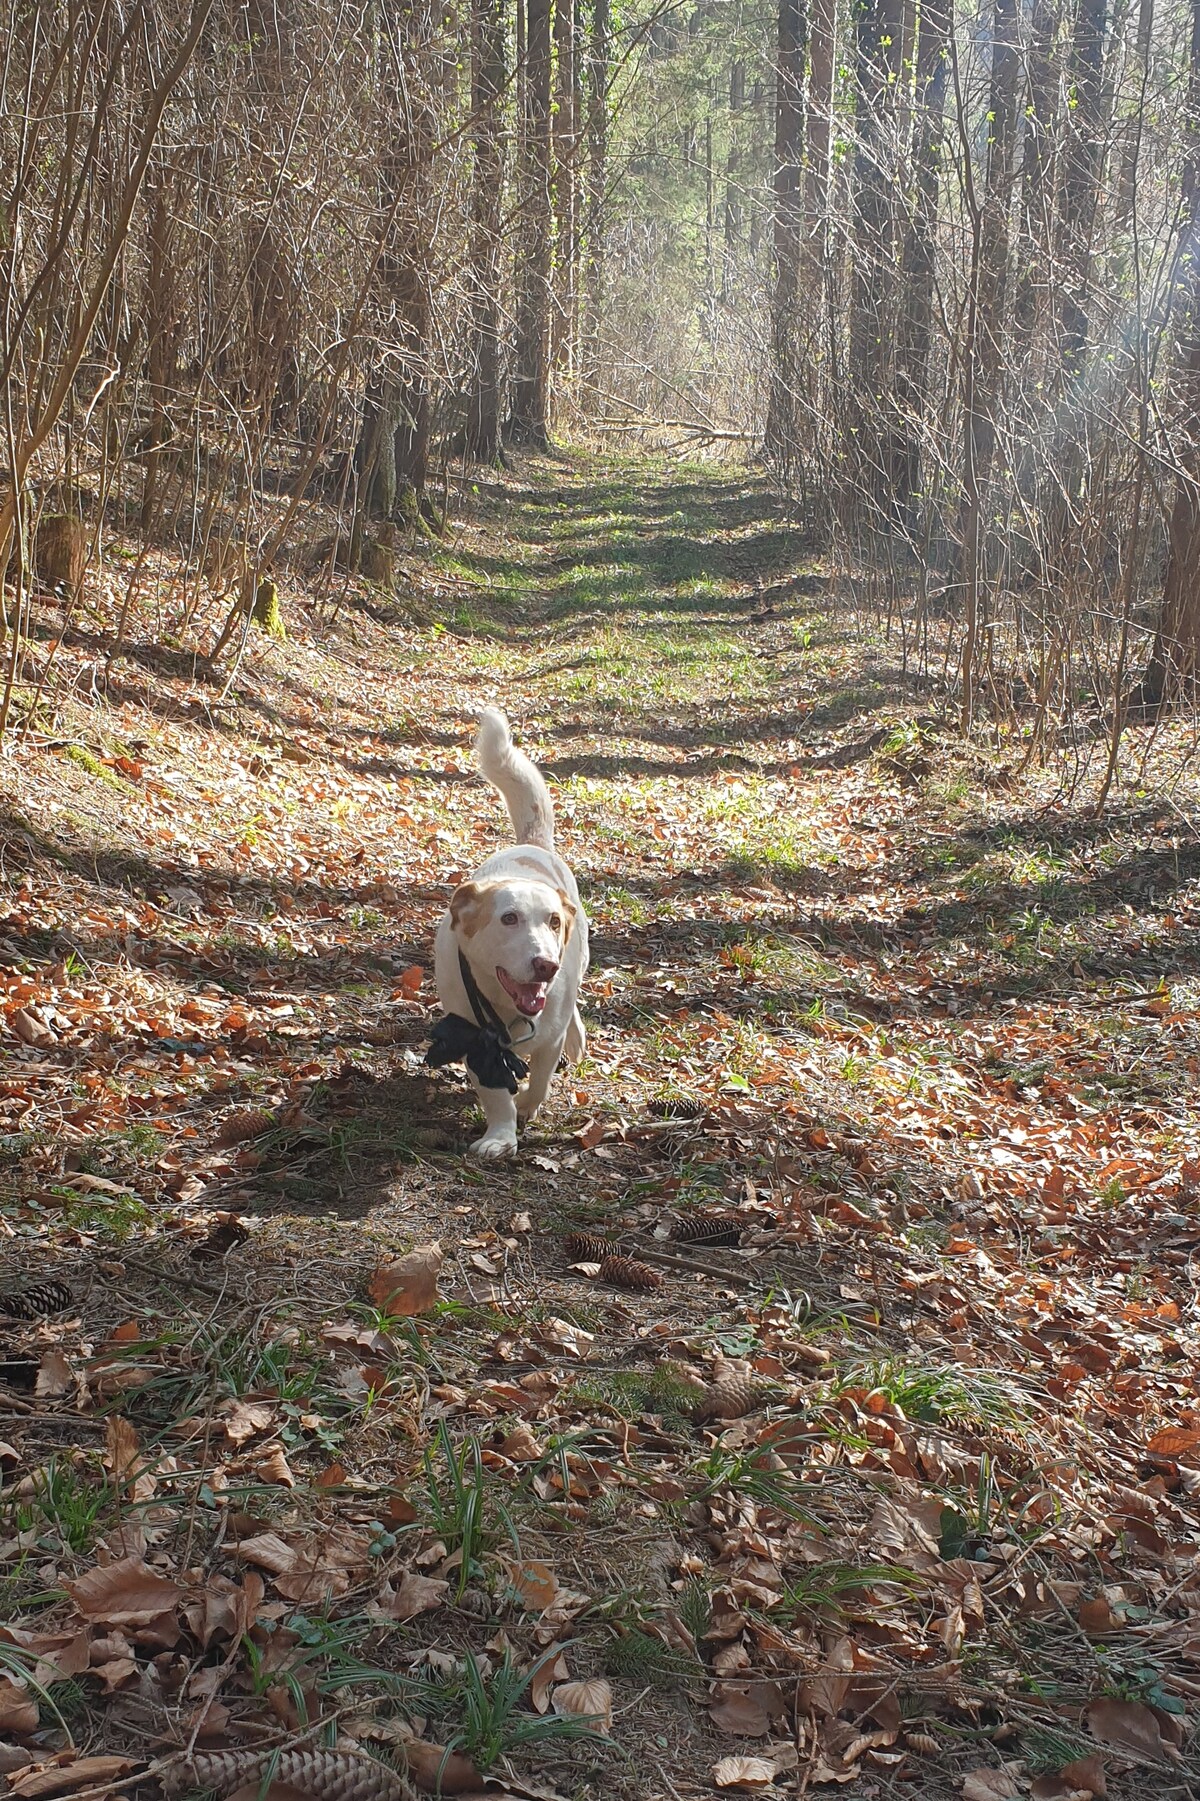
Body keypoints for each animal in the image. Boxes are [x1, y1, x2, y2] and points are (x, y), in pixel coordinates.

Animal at [425, 709, 587, 1159]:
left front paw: (528, 1107)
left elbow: (541, 1079)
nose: (546, 965)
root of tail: (532, 845)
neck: (508, 1010)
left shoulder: (547, 1038)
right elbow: (496, 1093)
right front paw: (501, 1135)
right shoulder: (473, 1037)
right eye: (508, 918)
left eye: (553, 921)